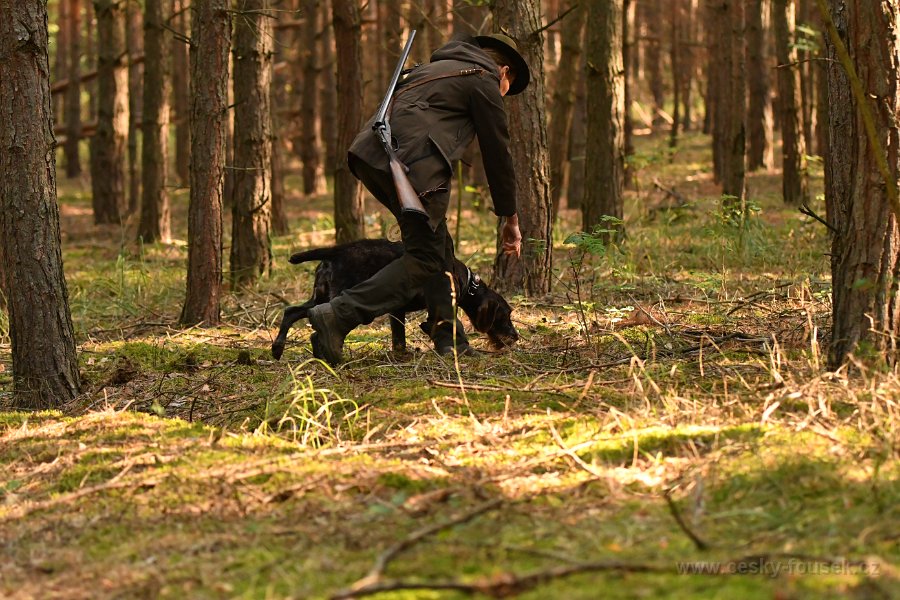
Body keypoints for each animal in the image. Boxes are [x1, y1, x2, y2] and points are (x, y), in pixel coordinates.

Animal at [270, 239, 516, 360]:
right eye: (505, 315)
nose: (516, 337)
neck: (466, 281)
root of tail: (335, 252)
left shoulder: (396, 311)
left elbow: (399, 337)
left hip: (319, 297)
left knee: (291, 312)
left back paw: (281, 349)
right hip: (339, 295)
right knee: (317, 328)